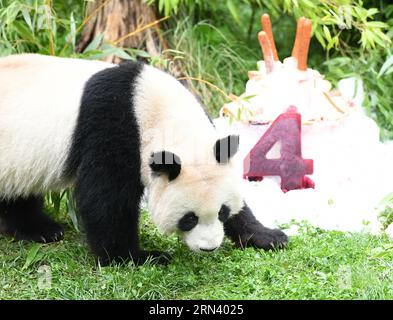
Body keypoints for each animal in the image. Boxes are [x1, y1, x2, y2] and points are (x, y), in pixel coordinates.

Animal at [0, 54, 288, 264]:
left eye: (222, 211)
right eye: (189, 218)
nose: (209, 247)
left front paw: (267, 236)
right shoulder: (111, 127)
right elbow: (104, 198)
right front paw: (138, 256)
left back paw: (40, 229)